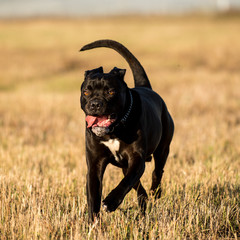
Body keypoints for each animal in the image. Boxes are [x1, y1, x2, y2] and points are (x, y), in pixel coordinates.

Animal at [79, 39, 173, 221]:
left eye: (110, 91)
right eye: (86, 91)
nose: (95, 104)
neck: (113, 132)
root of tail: (147, 88)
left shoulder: (136, 160)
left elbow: (125, 183)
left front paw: (111, 202)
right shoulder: (94, 165)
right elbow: (93, 197)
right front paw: (93, 223)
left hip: (162, 150)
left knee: (157, 172)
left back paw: (155, 193)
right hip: (125, 166)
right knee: (141, 191)